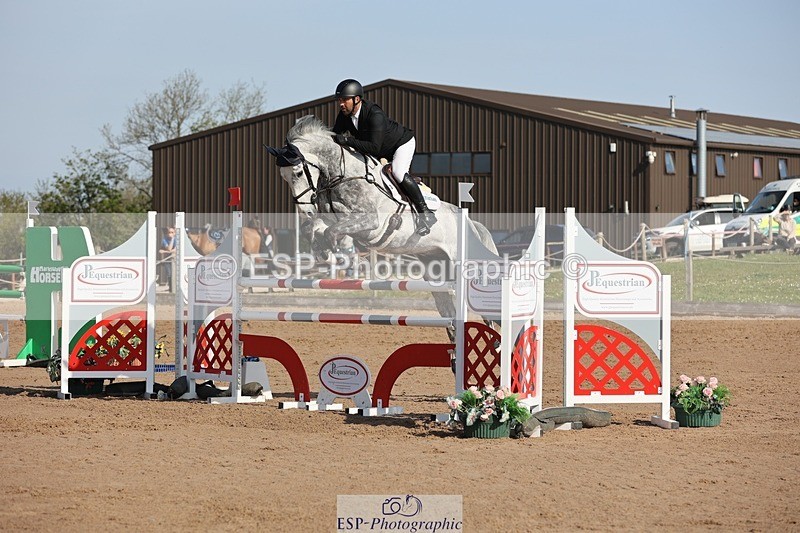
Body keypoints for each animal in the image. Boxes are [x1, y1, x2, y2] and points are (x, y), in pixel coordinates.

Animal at [266, 115, 499, 336]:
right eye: (283, 177)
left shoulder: (370, 223)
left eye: (298, 172)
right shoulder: (331, 216)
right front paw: (322, 250)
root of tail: (470, 223)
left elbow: (334, 231)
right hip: (436, 267)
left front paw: (338, 255)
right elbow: (313, 227)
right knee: (449, 311)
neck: (342, 175)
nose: (305, 210)